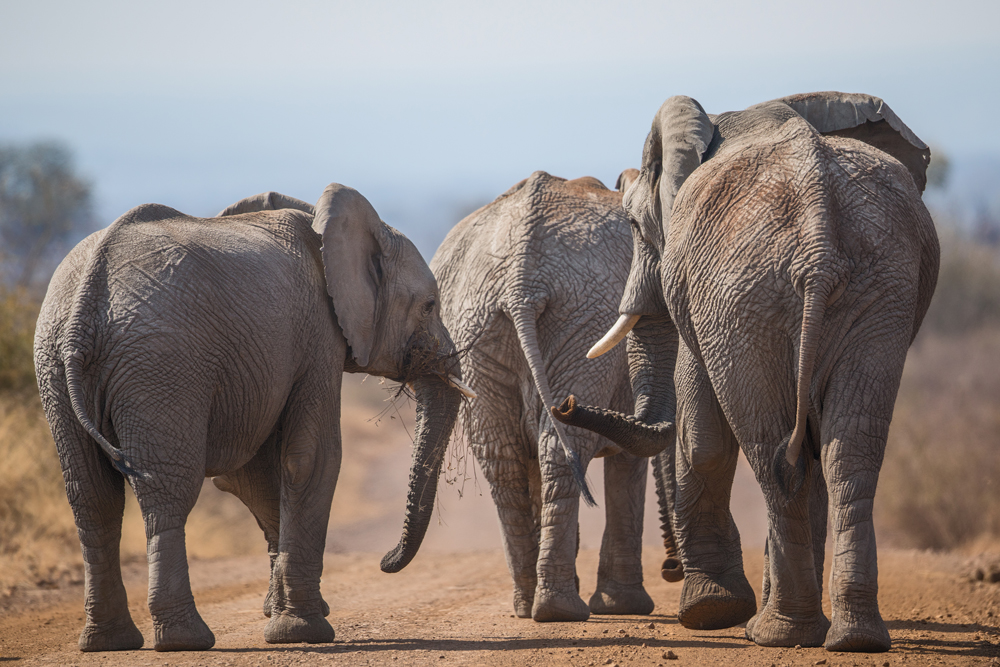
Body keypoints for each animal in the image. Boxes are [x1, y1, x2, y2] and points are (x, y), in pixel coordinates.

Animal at [32, 184, 468, 652]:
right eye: (429, 305)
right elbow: (312, 457)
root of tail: (84, 305)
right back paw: (186, 639)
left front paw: (282, 614)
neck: (322, 221)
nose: (385, 561)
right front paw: (303, 631)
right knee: (166, 489)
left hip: (56, 367)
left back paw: (109, 642)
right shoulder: (318, 332)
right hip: (162, 364)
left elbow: (255, 475)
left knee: (91, 497)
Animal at [426, 171, 684, 620]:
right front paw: (624, 607)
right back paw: (560, 609)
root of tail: (521, 280)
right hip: (582, 316)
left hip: (478, 324)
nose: (672, 569)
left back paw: (531, 605)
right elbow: (627, 463)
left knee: (504, 455)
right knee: (560, 449)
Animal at [556, 91, 936, 648]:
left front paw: (711, 611)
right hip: (875, 291)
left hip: (747, 300)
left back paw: (779, 632)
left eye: (633, 226)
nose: (565, 403)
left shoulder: (706, 304)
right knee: (845, 451)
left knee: (769, 447)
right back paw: (852, 638)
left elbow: (701, 432)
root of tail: (819, 237)